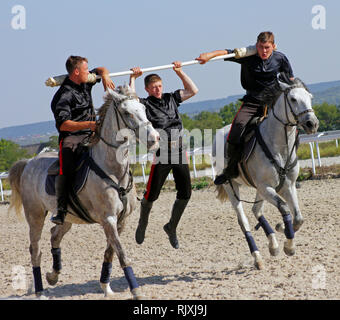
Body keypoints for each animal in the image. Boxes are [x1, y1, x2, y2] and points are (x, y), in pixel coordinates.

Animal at [7, 85, 159, 300]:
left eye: (144, 109)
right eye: (127, 113)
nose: (155, 139)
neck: (112, 169)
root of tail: (29, 162)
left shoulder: (120, 221)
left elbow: (110, 253)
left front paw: (106, 287)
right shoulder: (108, 219)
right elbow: (122, 255)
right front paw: (136, 291)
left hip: (67, 218)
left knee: (55, 235)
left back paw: (53, 275)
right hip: (35, 216)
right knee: (35, 250)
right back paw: (40, 291)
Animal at [214, 78, 320, 270]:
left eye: (310, 97)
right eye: (293, 99)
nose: (312, 124)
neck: (279, 145)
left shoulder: (287, 186)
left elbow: (298, 218)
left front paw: (282, 231)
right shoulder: (266, 187)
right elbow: (285, 208)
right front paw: (289, 245)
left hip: (259, 190)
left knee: (256, 210)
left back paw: (273, 245)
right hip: (232, 187)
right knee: (244, 221)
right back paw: (257, 258)